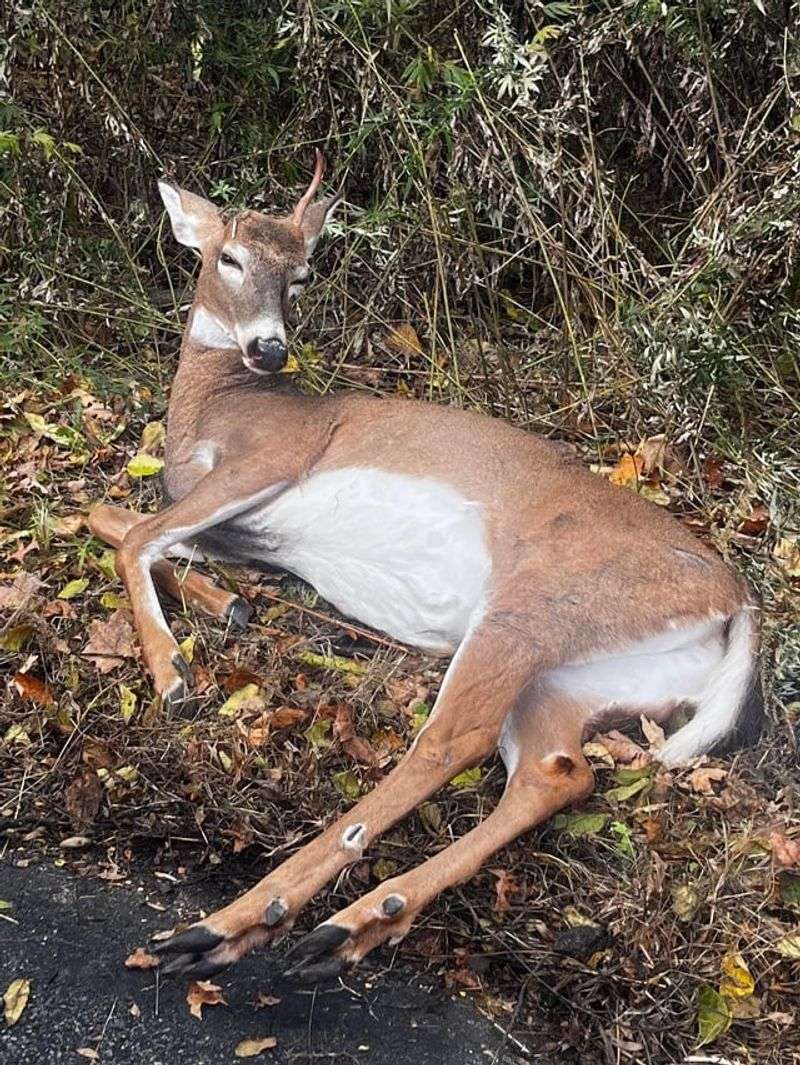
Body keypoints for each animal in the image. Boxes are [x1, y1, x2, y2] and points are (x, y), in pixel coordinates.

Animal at [88, 153, 763, 985]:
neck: (210, 407)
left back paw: (232, 924)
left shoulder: (270, 456)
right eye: (229, 258)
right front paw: (224, 608)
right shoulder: (237, 529)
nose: (270, 348)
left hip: (533, 605)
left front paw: (172, 672)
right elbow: (112, 517)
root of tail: (737, 598)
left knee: (448, 741)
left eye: (303, 273)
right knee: (557, 771)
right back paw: (356, 924)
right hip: (581, 675)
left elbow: (132, 534)